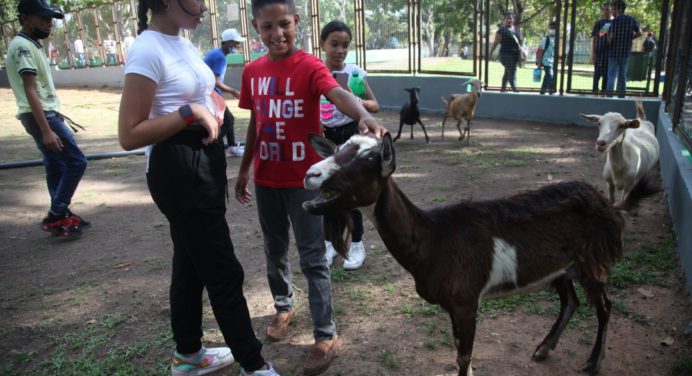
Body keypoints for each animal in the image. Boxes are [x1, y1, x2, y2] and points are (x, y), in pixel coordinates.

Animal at [304, 133, 660, 376]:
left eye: (368, 160)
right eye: (336, 149)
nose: (311, 174)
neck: (433, 238)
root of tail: (609, 205)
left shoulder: (466, 301)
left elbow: (464, 355)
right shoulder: (454, 306)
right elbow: (460, 351)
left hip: (592, 261)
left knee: (604, 306)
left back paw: (594, 361)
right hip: (560, 266)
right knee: (570, 301)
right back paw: (544, 349)